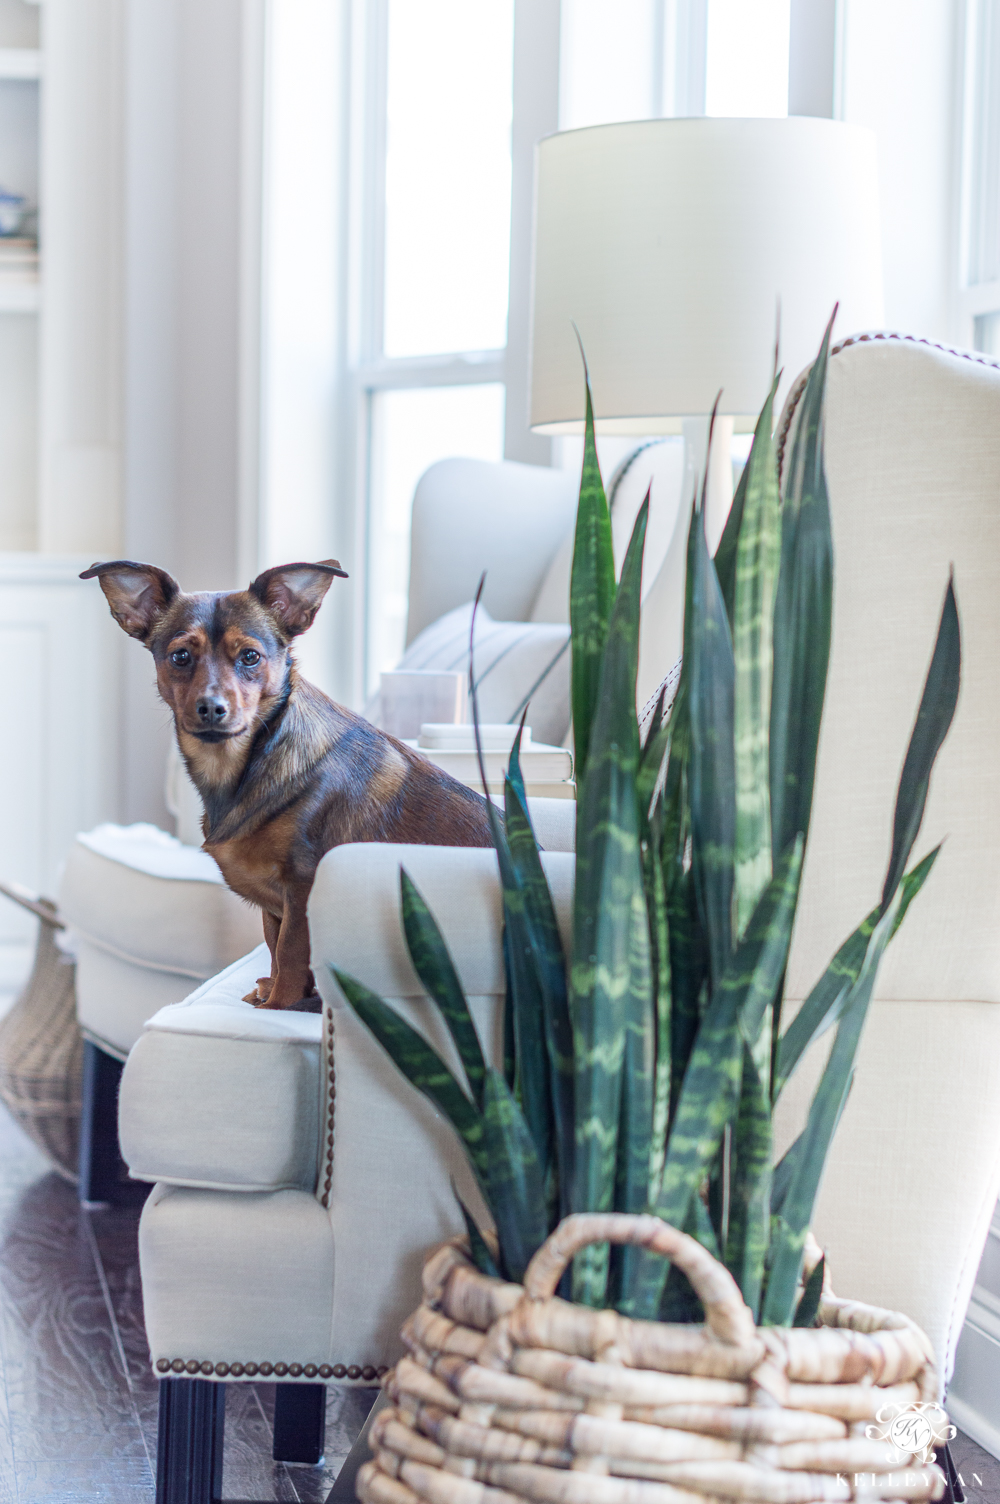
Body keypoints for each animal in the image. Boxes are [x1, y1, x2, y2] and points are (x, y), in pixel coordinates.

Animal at [81, 562, 490, 1010]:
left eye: (250, 656)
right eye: (181, 656)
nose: (211, 707)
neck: (244, 766)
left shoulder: (304, 890)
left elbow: (290, 964)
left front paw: (279, 1006)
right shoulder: (276, 907)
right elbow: (276, 953)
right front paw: (268, 993)